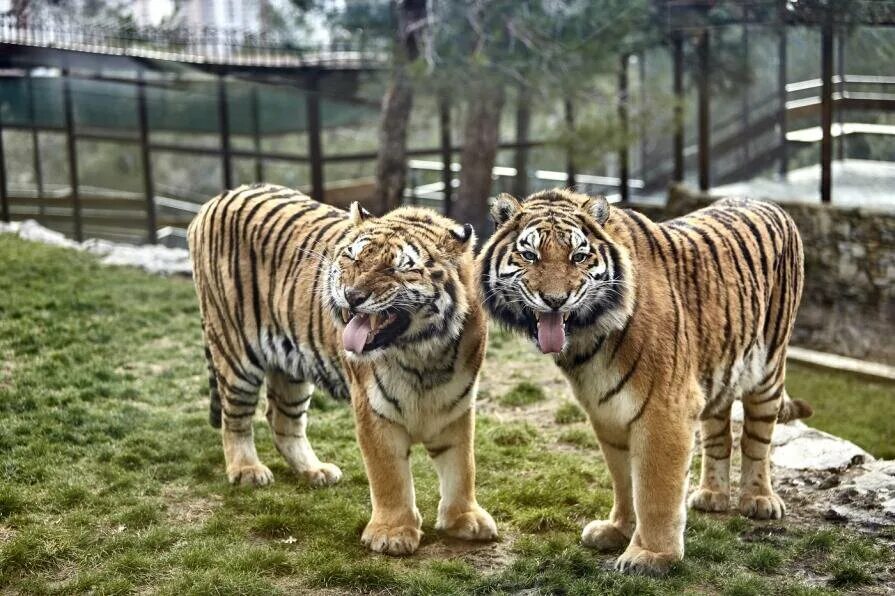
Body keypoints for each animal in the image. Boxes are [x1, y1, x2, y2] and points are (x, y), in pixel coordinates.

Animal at [187, 184, 496, 556]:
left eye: (397, 269)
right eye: (354, 258)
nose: (352, 295)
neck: (423, 355)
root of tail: (219, 197)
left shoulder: (456, 406)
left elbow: (462, 466)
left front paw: (465, 519)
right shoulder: (373, 408)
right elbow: (389, 475)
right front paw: (392, 533)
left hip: (291, 368)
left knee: (282, 420)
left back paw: (315, 471)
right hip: (235, 353)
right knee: (235, 419)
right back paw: (247, 470)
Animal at [480, 189, 816, 576]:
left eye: (578, 256)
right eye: (529, 254)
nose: (554, 300)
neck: (587, 337)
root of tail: (766, 201)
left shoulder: (665, 409)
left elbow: (654, 488)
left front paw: (651, 556)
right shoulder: (606, 410)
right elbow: (624, 480)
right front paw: (618, 530)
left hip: (768, 369)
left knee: (756, 439)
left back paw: (759, 499)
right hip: (718, 369)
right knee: (719, 436)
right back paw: (712, 496)